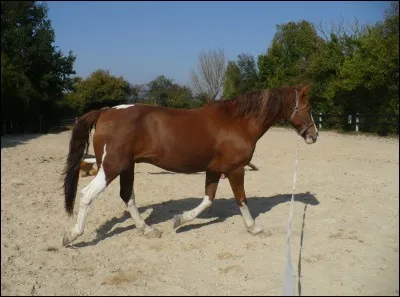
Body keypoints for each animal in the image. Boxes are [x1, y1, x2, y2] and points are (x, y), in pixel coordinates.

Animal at [61, 84, 318, 245]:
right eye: (309, 108)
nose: (314, 135)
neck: (238, 122)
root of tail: (105, 112)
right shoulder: (235, 170)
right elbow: (241, 200)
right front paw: (254, 228)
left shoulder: (214, 170)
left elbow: (207, 200)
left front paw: (179, 220)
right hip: (111, 167)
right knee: (87, 195)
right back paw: (72, 235)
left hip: (126, 167)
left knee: (128, 197)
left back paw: (148, 230)